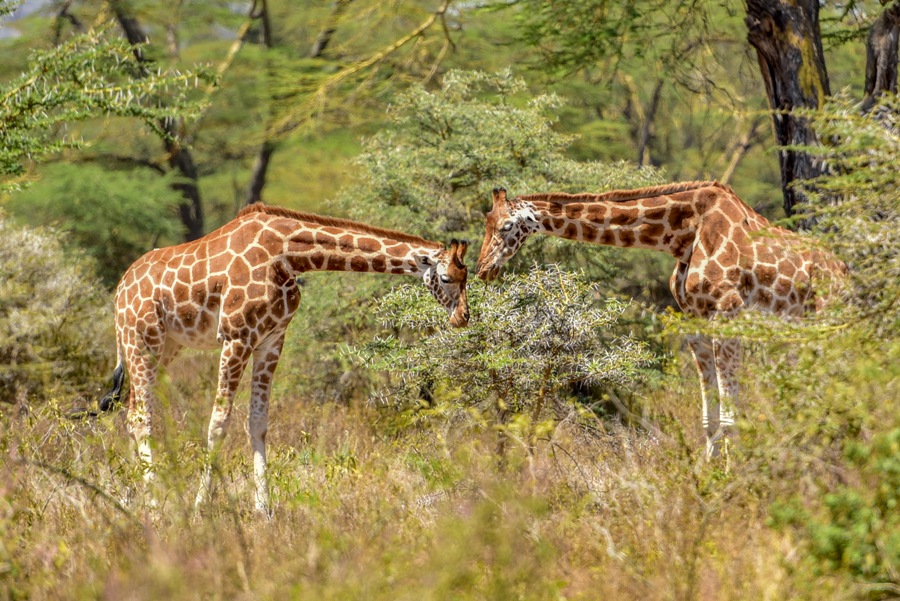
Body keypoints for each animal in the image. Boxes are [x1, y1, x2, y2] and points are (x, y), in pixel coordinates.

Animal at [98, 203, 469, 516]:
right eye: (446, 278)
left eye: (468, 277)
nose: (463, 317)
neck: (288, 255)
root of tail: (119, 290)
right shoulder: (236, 337)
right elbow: (218, 423)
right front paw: (201, 507)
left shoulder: (271, 340)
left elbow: (258, 423)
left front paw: (265, 510)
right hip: (140, 339)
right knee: (141, 416)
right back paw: (155, 503)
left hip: (165, 347)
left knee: (131, 410)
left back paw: (132, 496)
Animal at [476, 181, 847, 457]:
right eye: (486, 224)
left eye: (506, 226)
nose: (482, 269)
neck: (682, 236)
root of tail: (844, 272)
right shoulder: (696, 323)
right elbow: (709, 418)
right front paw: (707, 477)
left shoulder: (727, 314)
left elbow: (729, 417)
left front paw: (731, 479)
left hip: (829, 325)